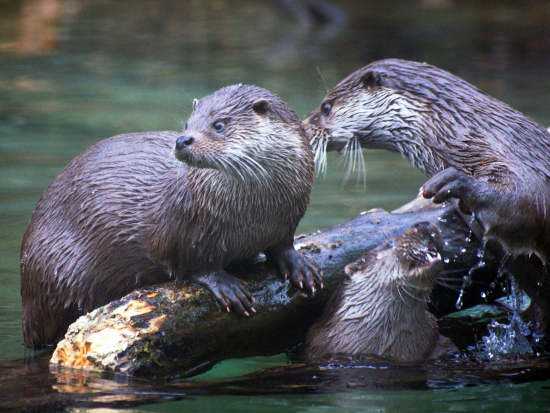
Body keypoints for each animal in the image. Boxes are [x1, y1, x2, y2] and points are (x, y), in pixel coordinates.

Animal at [21, 83, 324, 344]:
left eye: (219, 124)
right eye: (188, 124)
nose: (182, 140)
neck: (255, 215)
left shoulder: (287, 218)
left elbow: (282, 244)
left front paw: (299, 265)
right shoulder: (189, 228)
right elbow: (195, 264)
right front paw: (227, 286)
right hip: (56, 274)